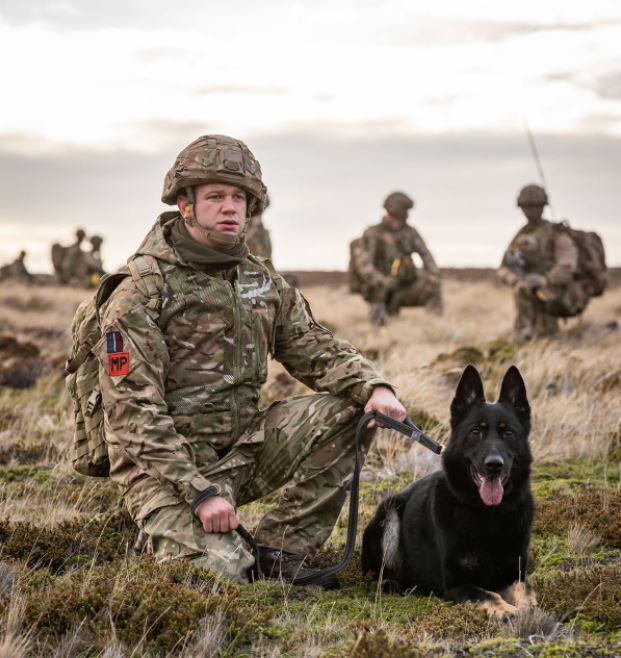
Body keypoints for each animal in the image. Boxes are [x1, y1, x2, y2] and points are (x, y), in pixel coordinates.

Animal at [360, 364, 536, 616]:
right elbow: (490, 595)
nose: (494, 465)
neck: (489, 514)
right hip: (389, 515)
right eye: (476, 432)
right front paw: (508, 612)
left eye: (508, 432)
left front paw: (530, 612)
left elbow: (526, 596)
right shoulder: (457, 584)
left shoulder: (515, 574)